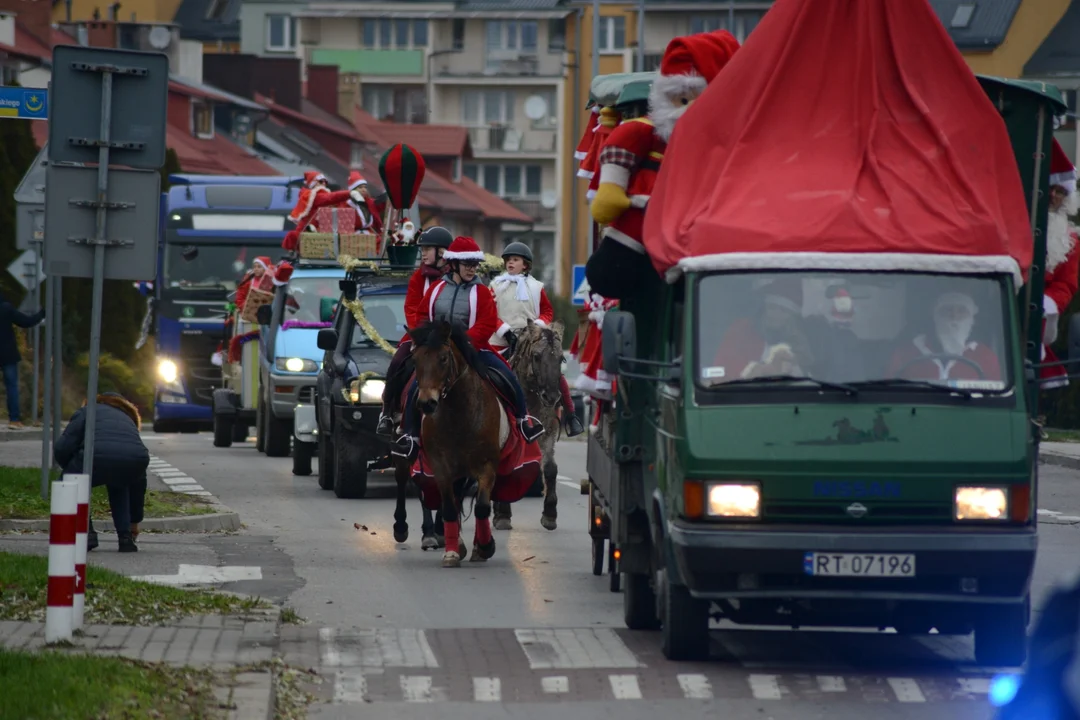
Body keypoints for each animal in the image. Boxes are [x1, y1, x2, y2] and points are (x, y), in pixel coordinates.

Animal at [410, 321, 503, 569]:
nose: (427, 403)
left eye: (443, 358)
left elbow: (482, 507)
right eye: (416, 359)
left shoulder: (487, 466)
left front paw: (486, 546)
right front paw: (452, 552)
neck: (459, 415)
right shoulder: (441, 468)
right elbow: (450, 509)